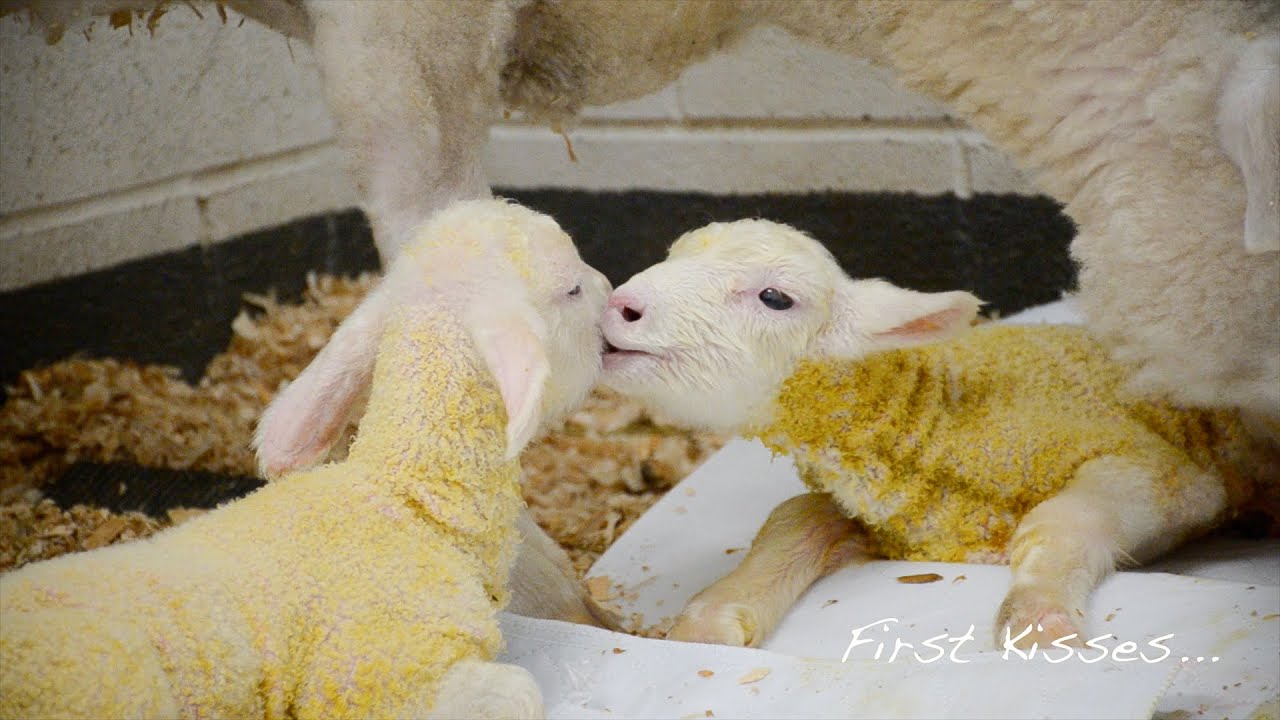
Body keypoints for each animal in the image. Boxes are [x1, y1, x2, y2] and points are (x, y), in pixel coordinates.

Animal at [599, 218, 1280, 650]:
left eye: (775, 298)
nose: (619, 305)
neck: (943, 417)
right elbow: (794, 519)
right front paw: (707, 621)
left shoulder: (1158, 469)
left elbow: (1065, 519)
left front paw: (1038, 619)